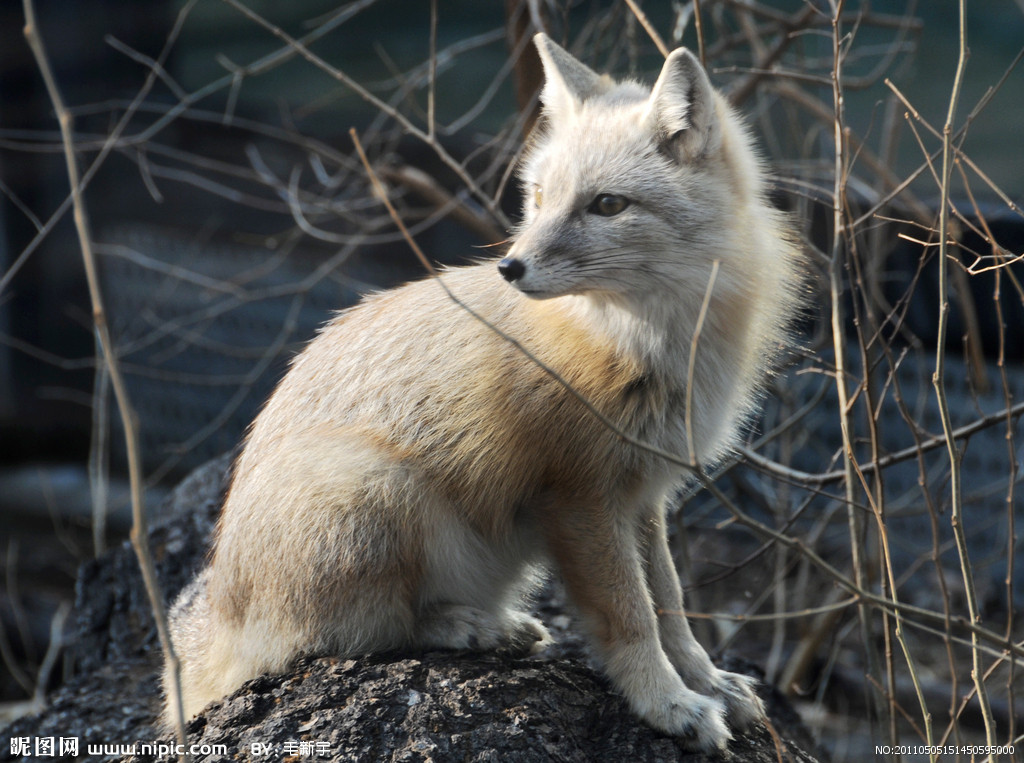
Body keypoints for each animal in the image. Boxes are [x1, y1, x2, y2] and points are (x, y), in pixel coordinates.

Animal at [163, 31, 806, 749]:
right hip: (381, 487)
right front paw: (667, 702)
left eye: (608, 205)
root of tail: (225, 604)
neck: (641, 342)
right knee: (356, 636)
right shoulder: (580, 496)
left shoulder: (643, 492)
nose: (510, 267)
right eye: (539, 197)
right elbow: (631, 615)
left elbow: (671, 605)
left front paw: (707, 681)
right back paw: (472, 625)